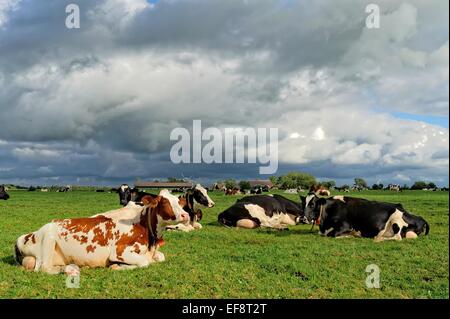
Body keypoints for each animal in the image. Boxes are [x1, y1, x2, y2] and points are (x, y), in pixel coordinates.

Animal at [14, 192, 189, 276]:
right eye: (164, 202)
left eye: (179, 202)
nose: (185, 215)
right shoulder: (119, 251)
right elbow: (144, 262)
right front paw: (117, 267)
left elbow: (160, 257)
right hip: (48, 238)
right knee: (43, 268)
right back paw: (70, 270)